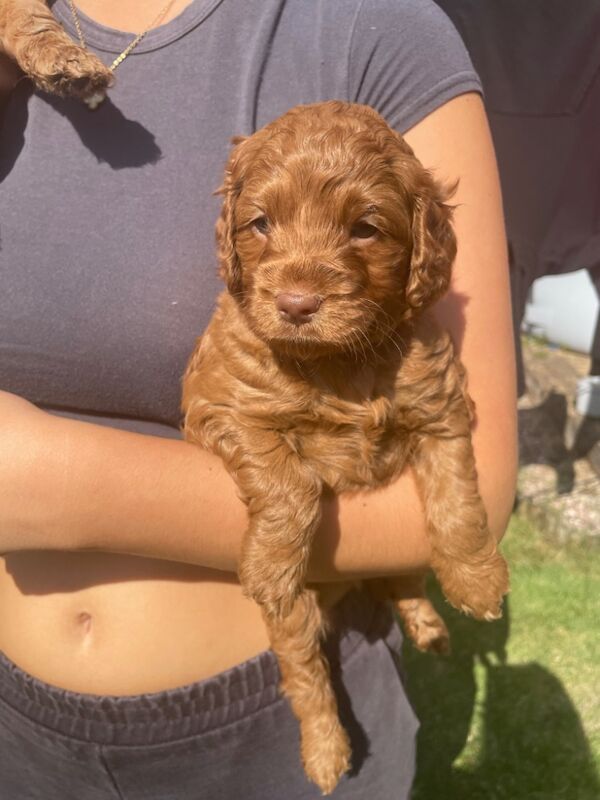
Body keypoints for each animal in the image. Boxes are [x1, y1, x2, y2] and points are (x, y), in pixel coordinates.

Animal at [182, 101, 506, 792]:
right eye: (260, 224)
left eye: (365, 229)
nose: (296, 304)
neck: (338, 362)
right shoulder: (219, 404)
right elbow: (289, 480)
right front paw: (270, 565)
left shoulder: (440, 408)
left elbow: (458, 503)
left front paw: (477, 582)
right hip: (297, 625)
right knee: (307, 673)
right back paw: (327, 751)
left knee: (399, 580)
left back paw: (429, 625)